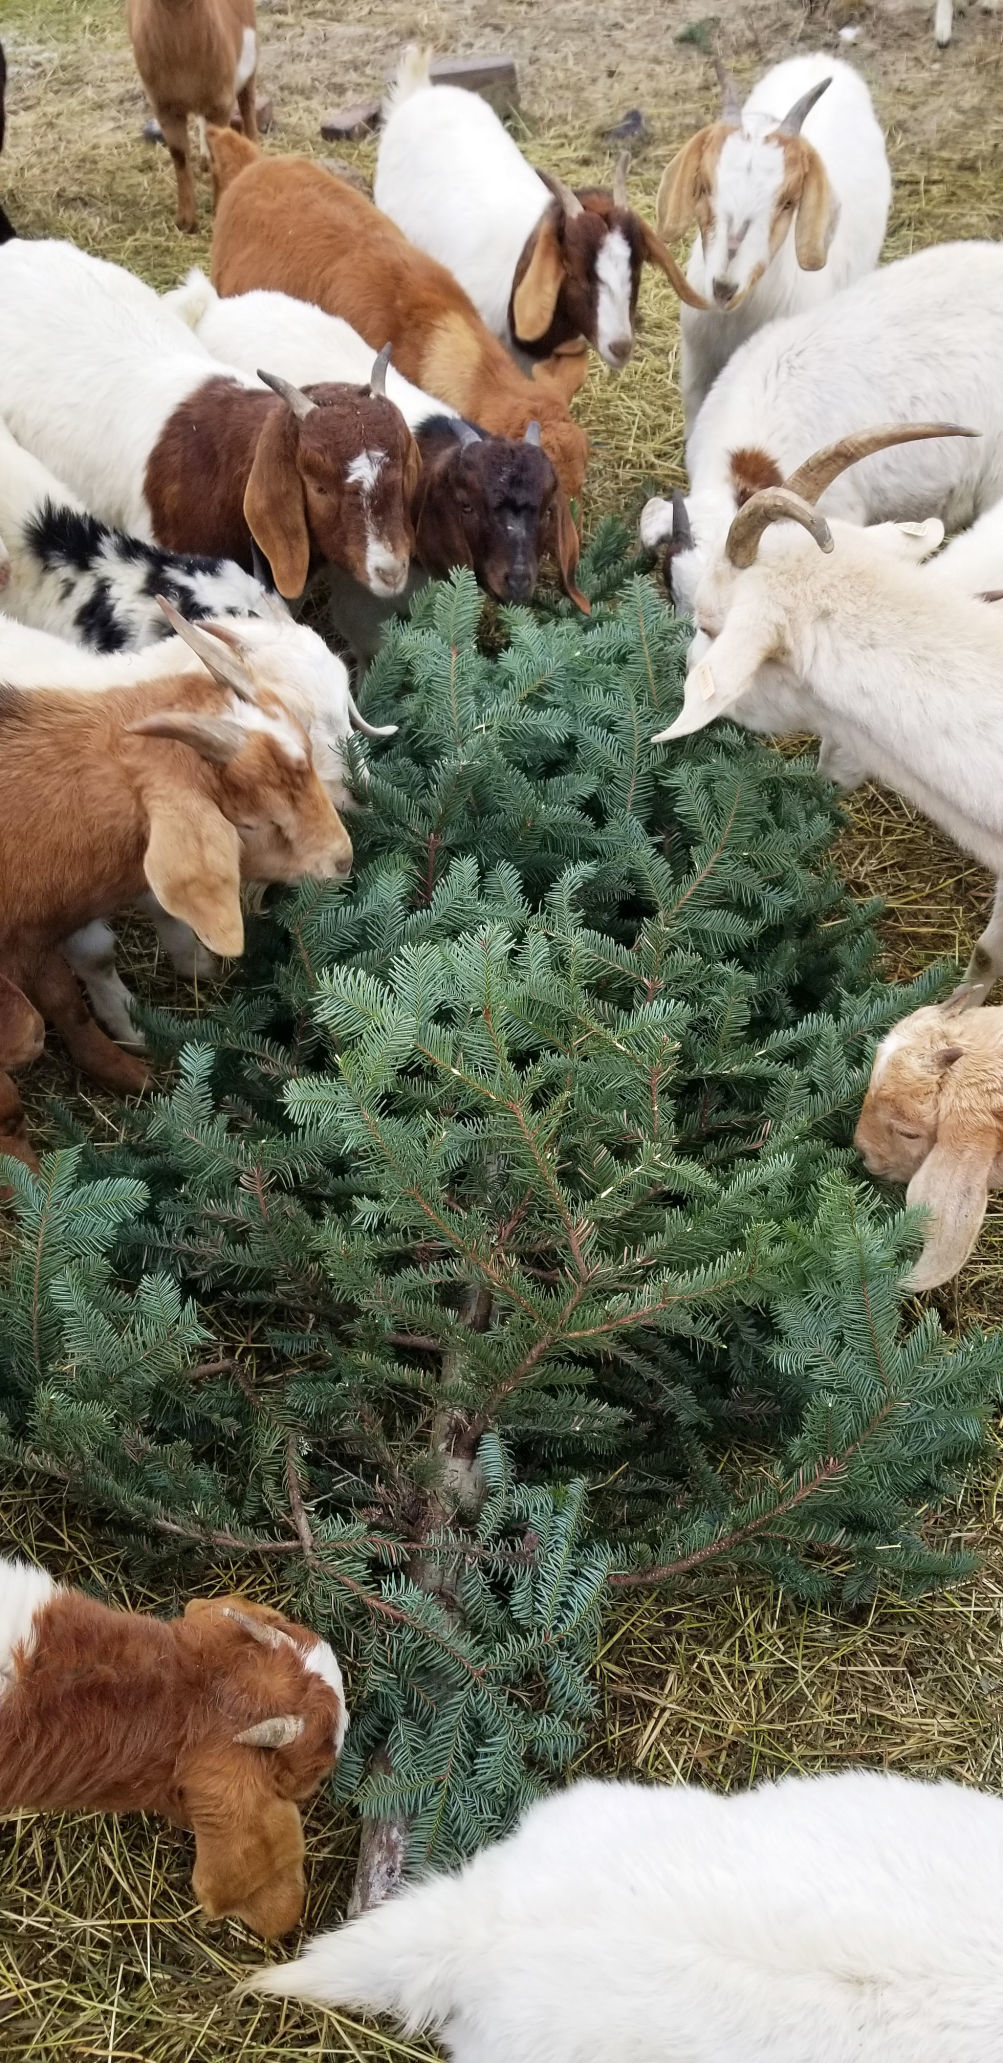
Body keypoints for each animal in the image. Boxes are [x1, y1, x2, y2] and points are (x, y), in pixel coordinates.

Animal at [0, 634, 352, 1151]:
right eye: (250, 822)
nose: (342, 859)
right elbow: (34, 1025)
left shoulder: (35, 932)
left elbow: (65, 999)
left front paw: (129, 1067)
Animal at [127, 0, 258, 232]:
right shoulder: (164, 107)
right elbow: (179, 157)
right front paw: (186, 222)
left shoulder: (221, 103)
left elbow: (219, 155)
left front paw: (218, 212)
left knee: (247, 105)